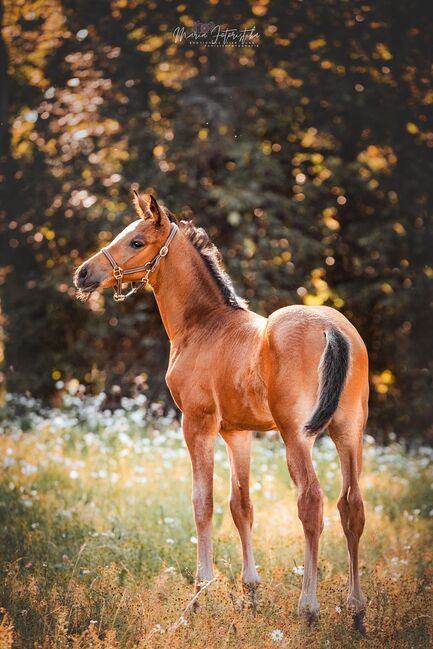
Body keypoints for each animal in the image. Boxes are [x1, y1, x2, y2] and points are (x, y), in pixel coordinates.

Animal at [75, 190, 368, 624]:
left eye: (136, 241)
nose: (83, 274)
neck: (204, 324)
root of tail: (332, 327)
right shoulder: (237, 432)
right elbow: (240, 505)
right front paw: (250, 592)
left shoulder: (197, 423)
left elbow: (203, 503)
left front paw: (199, 594)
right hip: (348, 431)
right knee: (352, 506)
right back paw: (356, 610)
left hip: (296, 436)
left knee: (311, 502)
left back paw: (308, 607)